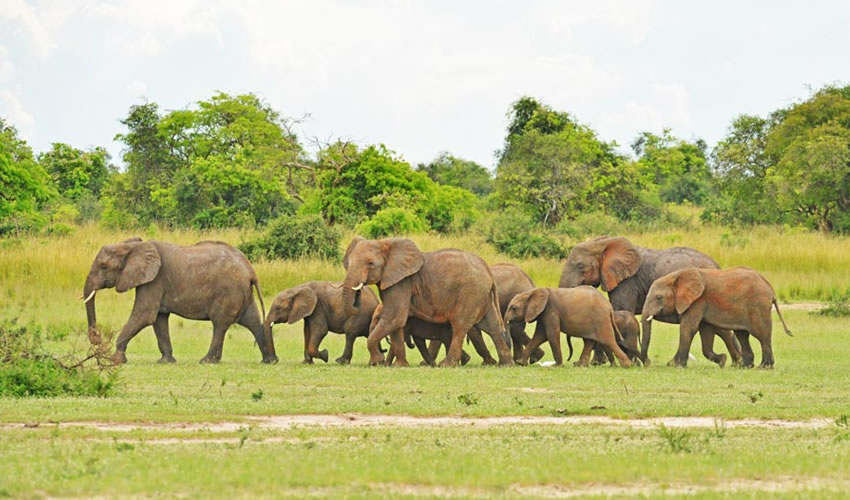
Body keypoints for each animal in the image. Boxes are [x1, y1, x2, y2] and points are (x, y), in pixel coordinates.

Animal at [82, 236, 274, 366]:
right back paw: (269, 361)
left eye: (104, 267)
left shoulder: (154, 280)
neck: (133, 246)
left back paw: (207, 361)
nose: (97, 340)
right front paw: (165, 361)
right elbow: (158, 319)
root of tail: (251, 271)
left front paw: (115, 360)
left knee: (220, 325)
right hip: (242, 293)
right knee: (253, 322)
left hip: (228, 292)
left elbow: (145, 315)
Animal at [340, 236, 510, 366]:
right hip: (482, 296)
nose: (358, 293)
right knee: (492, 326)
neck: (385, 243)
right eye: (348, 263)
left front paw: (376, 363)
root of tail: (488, 271)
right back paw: (504, 364)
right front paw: (400, 366)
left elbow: (394, 318)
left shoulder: (402, 283)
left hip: (471, 293)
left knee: (460, 325)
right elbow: (396, 321)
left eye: (370, 264)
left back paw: (447, 365)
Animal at [556, 234, 736, 368]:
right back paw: (734, 362)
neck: (604, 243)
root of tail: (718, 266)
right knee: (722, 330)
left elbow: (619, 308)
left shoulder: (627, 281)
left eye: (580, 266)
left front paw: (599, 362)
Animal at [644, 266, 796, 368]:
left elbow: (688, 328)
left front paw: (675, 365)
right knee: (742, 335)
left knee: (762, 335)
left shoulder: (698, 301)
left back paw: (764, 367)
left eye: (659, 298)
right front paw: (722, 360)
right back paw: (743, 366)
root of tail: (771, 289)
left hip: (759, 306)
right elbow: (706, 330)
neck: (677, 276)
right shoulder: (703, 303)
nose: (647, 363)